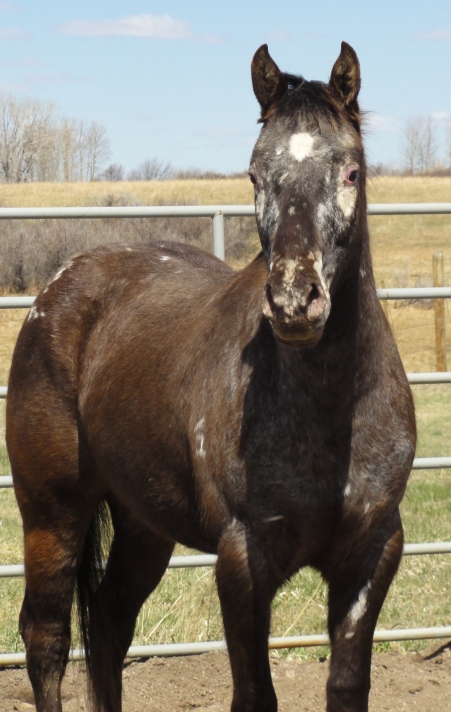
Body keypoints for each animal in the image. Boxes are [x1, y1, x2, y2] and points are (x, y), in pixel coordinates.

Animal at [6, 43, 416, 712]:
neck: (330, 412)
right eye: (254, 175)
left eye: (352, 172)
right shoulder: (243, 561)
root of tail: (61, 285)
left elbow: (347, 685)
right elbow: (254, 694)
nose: (295, 301)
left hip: (143, 524)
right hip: (51, 514)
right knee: (46, 638)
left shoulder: (371, 554)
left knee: (110, 624)